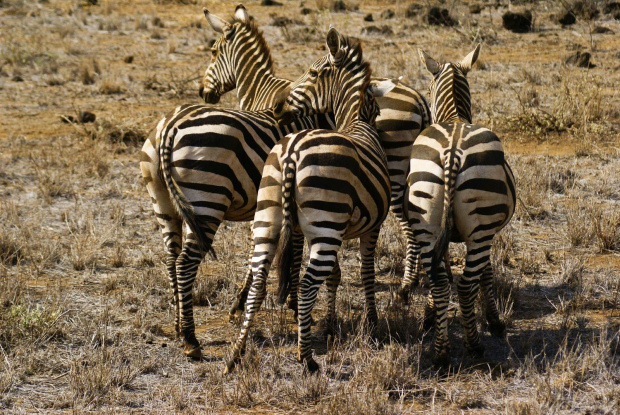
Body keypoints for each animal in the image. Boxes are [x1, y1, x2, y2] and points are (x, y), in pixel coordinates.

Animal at [201, 3, 434, 316]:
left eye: (214, 51)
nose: (204, 93)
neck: (261, 90)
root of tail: (419, 99)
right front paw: (290, 294)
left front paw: (248, 296)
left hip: (393, 175)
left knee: (409, 226)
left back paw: (407, 287)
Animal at [225, 28, 394, 374]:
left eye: (313, 73)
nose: (277, 106)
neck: (356, 120)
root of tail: (292, 152)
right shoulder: (372, 227)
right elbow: (366, 273)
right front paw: (372, 324)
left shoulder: (327, 230)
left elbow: (336, 275)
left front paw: (330, 324)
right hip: (325, 223)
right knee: (304, 286)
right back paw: (307, 358)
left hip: (270, 217)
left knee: (259, 280)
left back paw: (236, 353)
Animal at [404, 44, 516, 366]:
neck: (454, 117)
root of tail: (452, 152)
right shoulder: (489, 233)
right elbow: (486, 274)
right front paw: (495, 321)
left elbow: (440, 269)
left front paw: (429, 316)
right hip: (480, 228)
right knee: (466, 285)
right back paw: (474, 346)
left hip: (425, 217)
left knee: (440, 281)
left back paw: (441, 352)